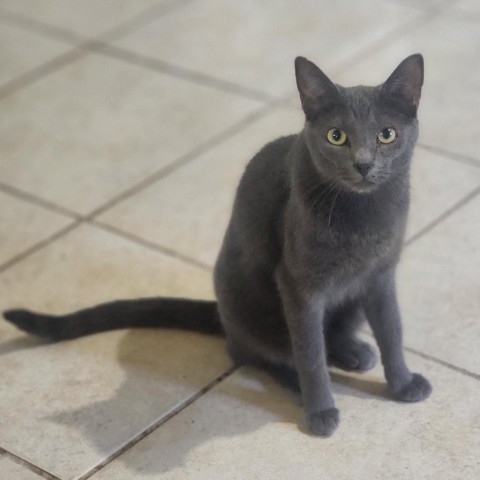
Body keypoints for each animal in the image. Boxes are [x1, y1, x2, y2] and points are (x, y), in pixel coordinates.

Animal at [3, 54, 432, 436]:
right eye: (336, 136)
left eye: (386, 134)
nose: (363, 163)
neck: (364, 214)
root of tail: (221, 315)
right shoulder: (297, 284)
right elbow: (309, 353)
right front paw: (320, 409)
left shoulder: (380, 275)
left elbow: (392, 330)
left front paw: (403, 383)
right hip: (251, 304)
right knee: (256, 352)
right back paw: (298, 381)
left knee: (325, 333)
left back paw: (353, 351)